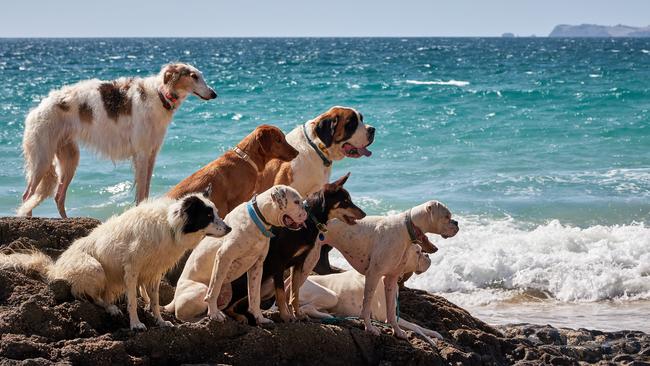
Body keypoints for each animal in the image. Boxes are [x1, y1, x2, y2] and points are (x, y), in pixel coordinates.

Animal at [1, 190, 230, 330]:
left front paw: (160, 321)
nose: (229, 228)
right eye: (208, 216)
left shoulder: (154, 273)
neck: (170, 225)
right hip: (94, 268)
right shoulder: (132, 270)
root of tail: (56, 269)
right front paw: (136, 324)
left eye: (217, 213)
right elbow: (132, 302)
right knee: (90, 296)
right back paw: (110, 307)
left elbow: (155, 301)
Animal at [15, 63, 215, 217]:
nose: (214, 94)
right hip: (42, 159)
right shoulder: (142, 154)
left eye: (200, 75)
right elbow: (141, 193)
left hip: (69, 159)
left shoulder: (152, 155)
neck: (159, 94)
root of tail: (37, 109)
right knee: (27, 196)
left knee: (58, 196)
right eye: (193, 76)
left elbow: (146, 190)